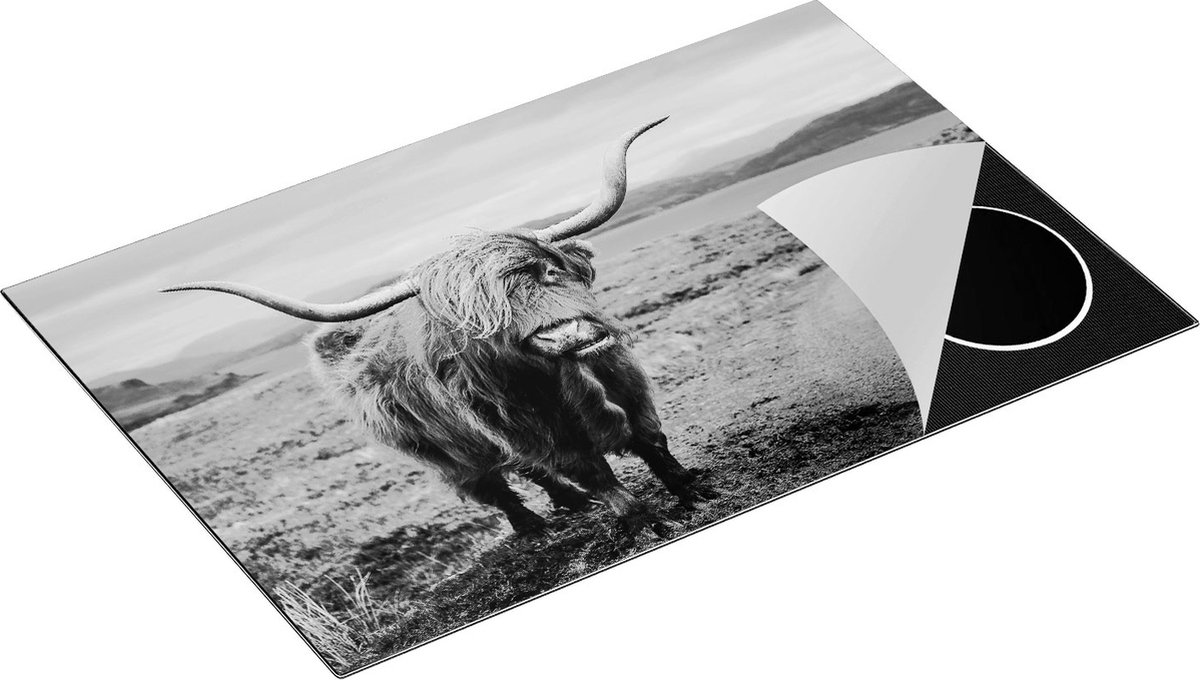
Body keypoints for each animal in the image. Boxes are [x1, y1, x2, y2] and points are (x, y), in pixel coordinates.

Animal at [162, 118, 714, 537]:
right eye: (474, 320)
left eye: (548, 271)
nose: (571, 335)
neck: (570, 380)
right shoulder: (542, 433)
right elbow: (598, 475)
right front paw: (645, 523)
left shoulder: (630, 387)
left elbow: (653, 442)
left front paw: (694, 490)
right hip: (443, 454)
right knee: (493, 486)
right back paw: (536, 527)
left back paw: (569, 505)